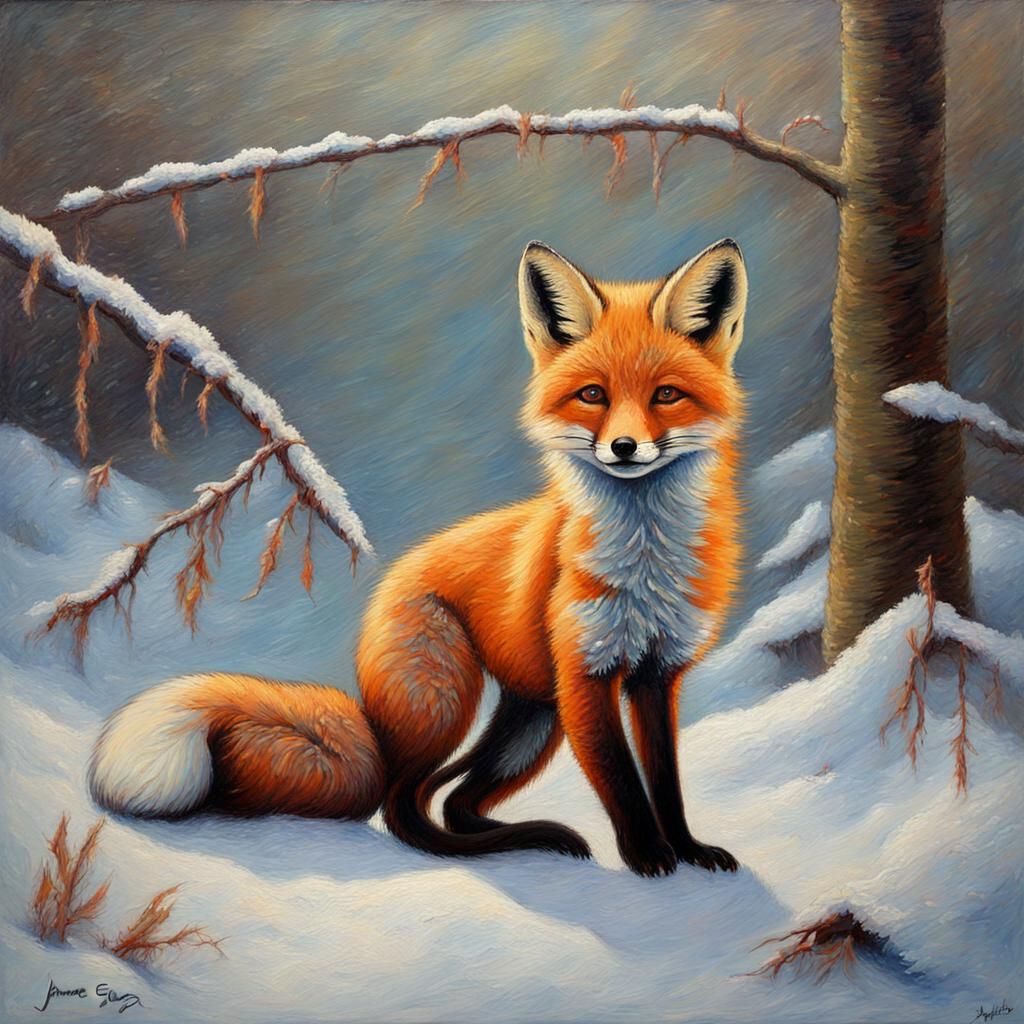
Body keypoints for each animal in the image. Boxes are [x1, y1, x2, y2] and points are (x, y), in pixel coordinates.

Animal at [89, 237, 748, 878]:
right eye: (593, 395)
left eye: (666, 395)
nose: (624, 447)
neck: (646, 560)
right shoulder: (586, 676)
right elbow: (621, 781)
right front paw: (648, 858)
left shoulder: (658, 674)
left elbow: (665, 779)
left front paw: (687, 849)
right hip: (453, 700)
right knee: (402, 803)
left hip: (534, 718)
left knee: (454, 801)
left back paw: (527, 838)